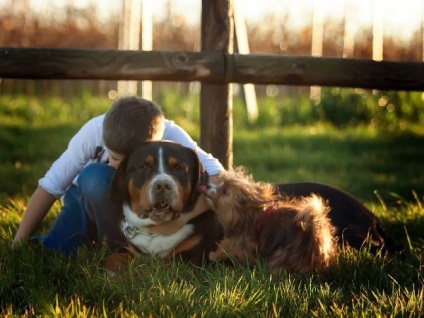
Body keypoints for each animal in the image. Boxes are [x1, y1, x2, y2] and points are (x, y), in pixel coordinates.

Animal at [200, 166, 336, 274]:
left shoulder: (241, 241)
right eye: (220, 182)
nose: (207, 185)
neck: (248, 214)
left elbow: (226, 247)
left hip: (285, 254)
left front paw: (213, 255)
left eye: (224, 191)